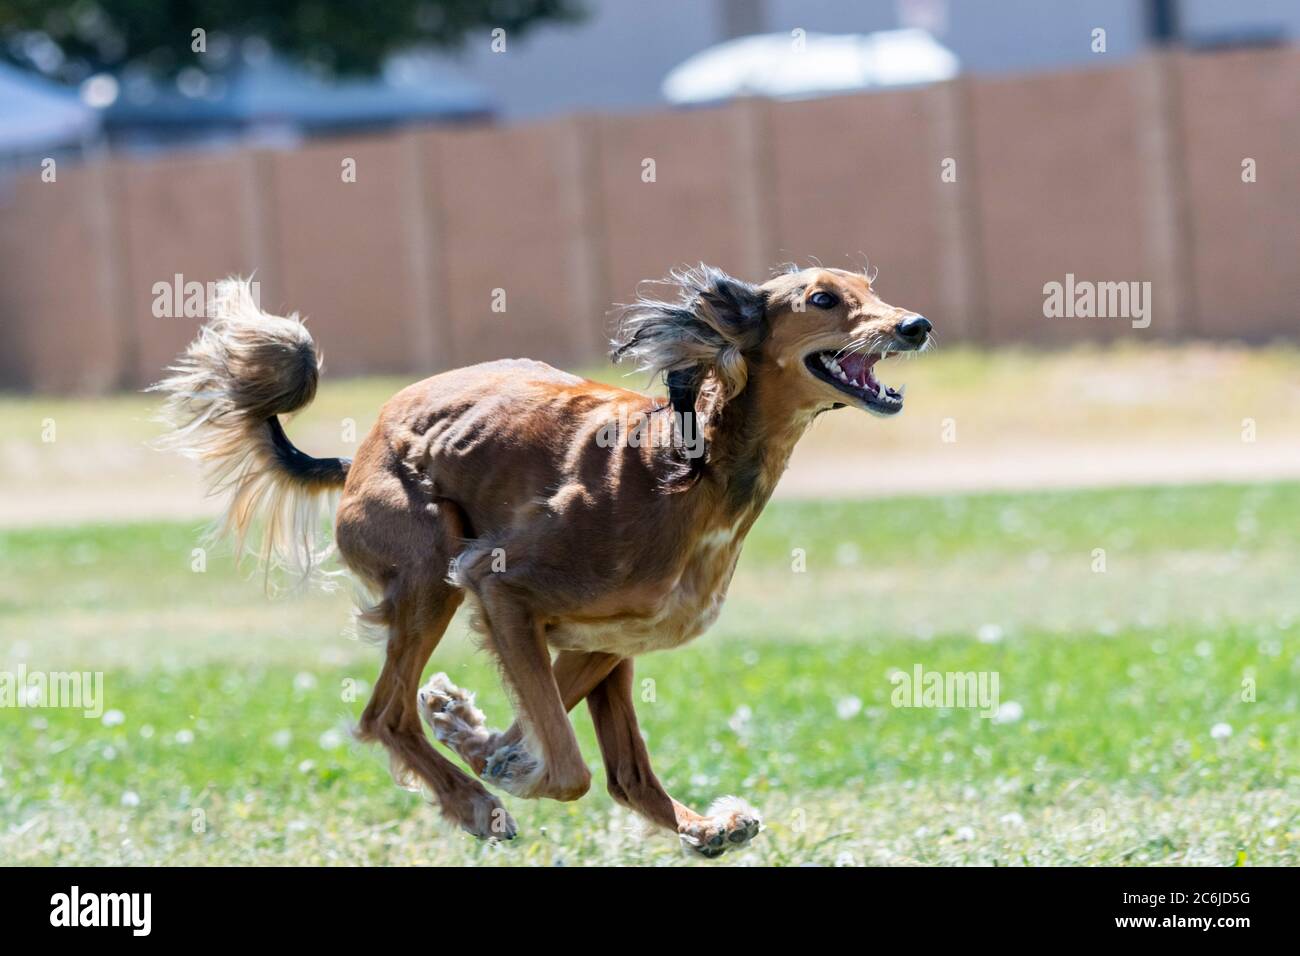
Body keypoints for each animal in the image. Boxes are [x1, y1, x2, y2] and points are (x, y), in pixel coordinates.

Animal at [152, 264, 930, 858]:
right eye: (822, 298)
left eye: (870, 286)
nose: (916, 325)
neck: (691, 463)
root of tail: (359, 454)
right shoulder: (500, 587)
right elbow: (565, 767)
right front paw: (498, 771)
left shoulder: (610, 636)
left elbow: (573, 749)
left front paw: (478, 736)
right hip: (430, 567)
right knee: (385, 716)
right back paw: (473, 803)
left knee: (622, 772)